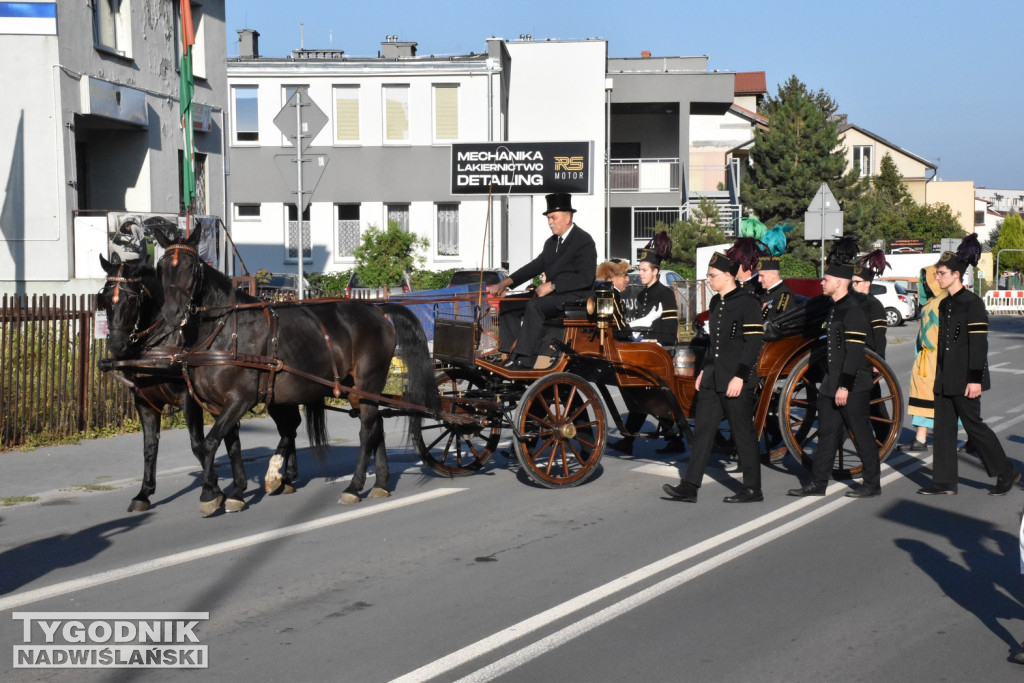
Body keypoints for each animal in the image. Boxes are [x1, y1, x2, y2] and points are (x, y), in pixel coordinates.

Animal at [153, 229, 438, 507]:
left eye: (191, 266)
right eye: (161, 266)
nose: (171, 312)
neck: (226, 330)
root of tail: (379, 311)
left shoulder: (239, 399)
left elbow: (209, 444)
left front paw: (210, 493)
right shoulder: (217, 405)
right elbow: (230, 445)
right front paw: (235, 490)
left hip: (368, 382)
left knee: (367, 430)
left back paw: (354, 486)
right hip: (354, 390)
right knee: (376, 424)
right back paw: (380, 483)